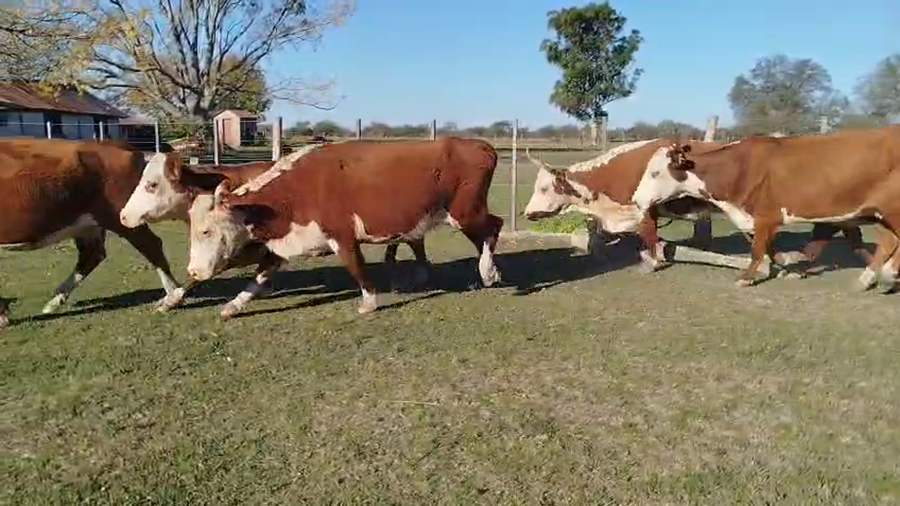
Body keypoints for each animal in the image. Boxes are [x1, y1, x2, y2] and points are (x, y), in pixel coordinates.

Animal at [0, 138, 182, 328]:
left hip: (122, 215)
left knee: (150, 244)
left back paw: (172, 298)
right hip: (87, 224)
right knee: (92, 254)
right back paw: (56, 300)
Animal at [184, 137, 504, 319]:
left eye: (206, 231)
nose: (193, 272)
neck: (298, 189)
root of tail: (480, 145)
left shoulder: (343, 237)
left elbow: (357, 268)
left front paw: (369, 302)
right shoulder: (287, 243)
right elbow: (258, 278)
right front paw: (232, 306)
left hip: (465, 212)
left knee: (494, 227)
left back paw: (487, 271)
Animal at [629, 126, 900, 290]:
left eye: (655, 173)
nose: (636, 197)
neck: (740, 168)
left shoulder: (766, 217)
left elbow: (758, 250)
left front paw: (747, 278)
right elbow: (773, 248)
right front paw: (784, 265)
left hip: (891, 211)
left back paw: (886, 275)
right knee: (888, 241)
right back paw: (871, 278)